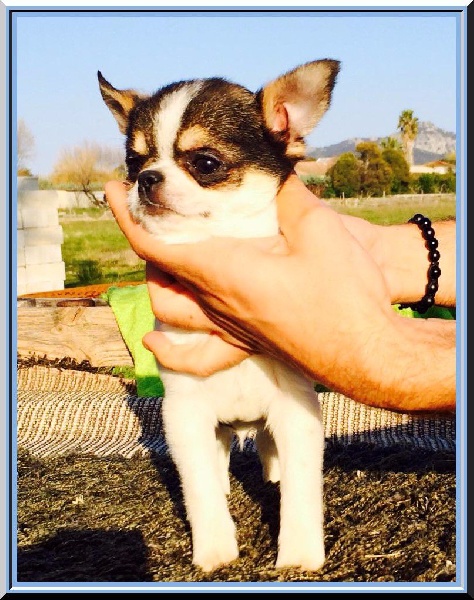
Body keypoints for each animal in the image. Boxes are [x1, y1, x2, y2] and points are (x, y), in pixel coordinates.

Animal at [98, 59, 339, 572]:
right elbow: (200, 487)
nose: (147, 179)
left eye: (205, 164)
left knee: (268, 450)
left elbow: (301, 488)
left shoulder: (296, 410)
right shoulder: (185, 414)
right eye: (134, 163)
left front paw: (299, 555)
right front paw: (214, 549)